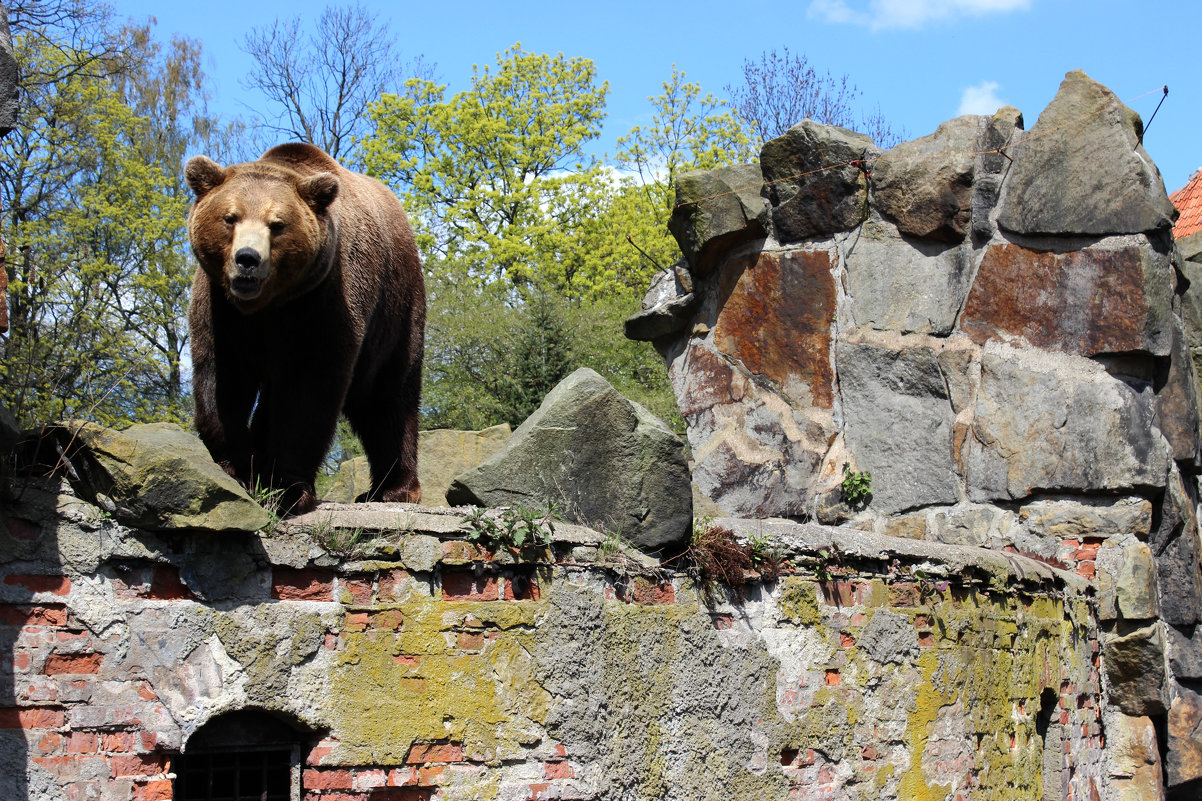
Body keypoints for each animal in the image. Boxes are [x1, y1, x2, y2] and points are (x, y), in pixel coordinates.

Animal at [180, 141, 420, 512]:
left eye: (277, 224)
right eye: (230, 217)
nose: (247, 259)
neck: (266, 305)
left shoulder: (319, 302)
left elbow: (307, 390)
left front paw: (287, 490)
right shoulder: (221, 308)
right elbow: (222, 379)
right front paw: (237, 468)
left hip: (396, 309)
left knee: (389, 394)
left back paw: (394, 488)